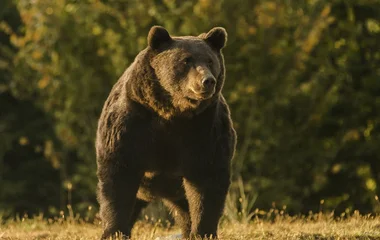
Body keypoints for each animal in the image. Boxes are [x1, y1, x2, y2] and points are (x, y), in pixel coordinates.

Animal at [95, 25, 235, 239]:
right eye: (186, 60)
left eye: (210, 61)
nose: (207, 81)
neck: (173, 112)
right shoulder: (131, 124)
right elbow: (118, 177)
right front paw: (114, 231)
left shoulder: (205, 129)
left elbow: (207, 181)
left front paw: (203, 231)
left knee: (185, 210)